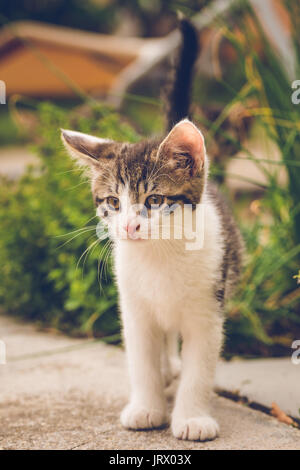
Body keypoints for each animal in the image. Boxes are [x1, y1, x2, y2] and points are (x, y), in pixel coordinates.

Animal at [62, 19, 243, 440]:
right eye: (113, 202)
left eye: (155, 200)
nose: (129, 225)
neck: (162, 254)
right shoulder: (135, 308)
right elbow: (141, 359)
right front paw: (147, 407)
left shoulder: (208, 308)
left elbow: (200, 367)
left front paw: (191, 417)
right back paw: (166, 369)